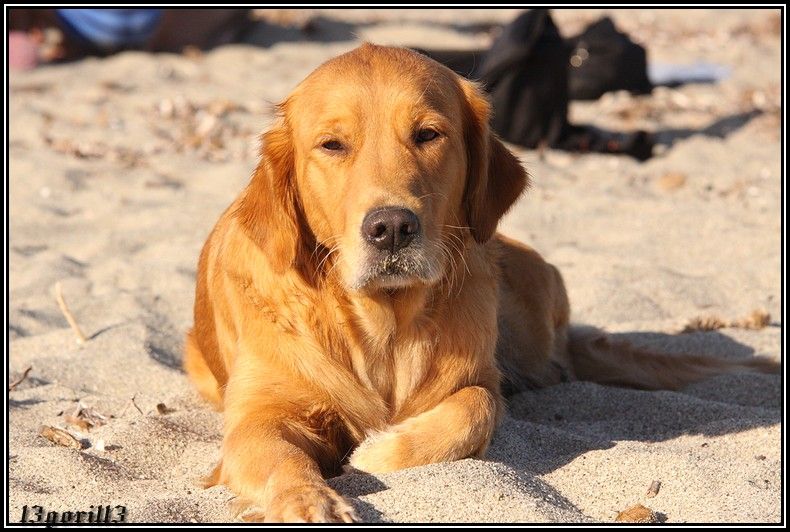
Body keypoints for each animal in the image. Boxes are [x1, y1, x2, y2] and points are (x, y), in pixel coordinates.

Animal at [186, 42, 780, 524]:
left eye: (428, 135)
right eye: (332, 145)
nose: (392, 228)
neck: (383, 326)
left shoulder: (475, 375)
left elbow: (477, 406)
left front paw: (379, 448)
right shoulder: (259, 417)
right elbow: (280, 458)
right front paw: (311, 502)